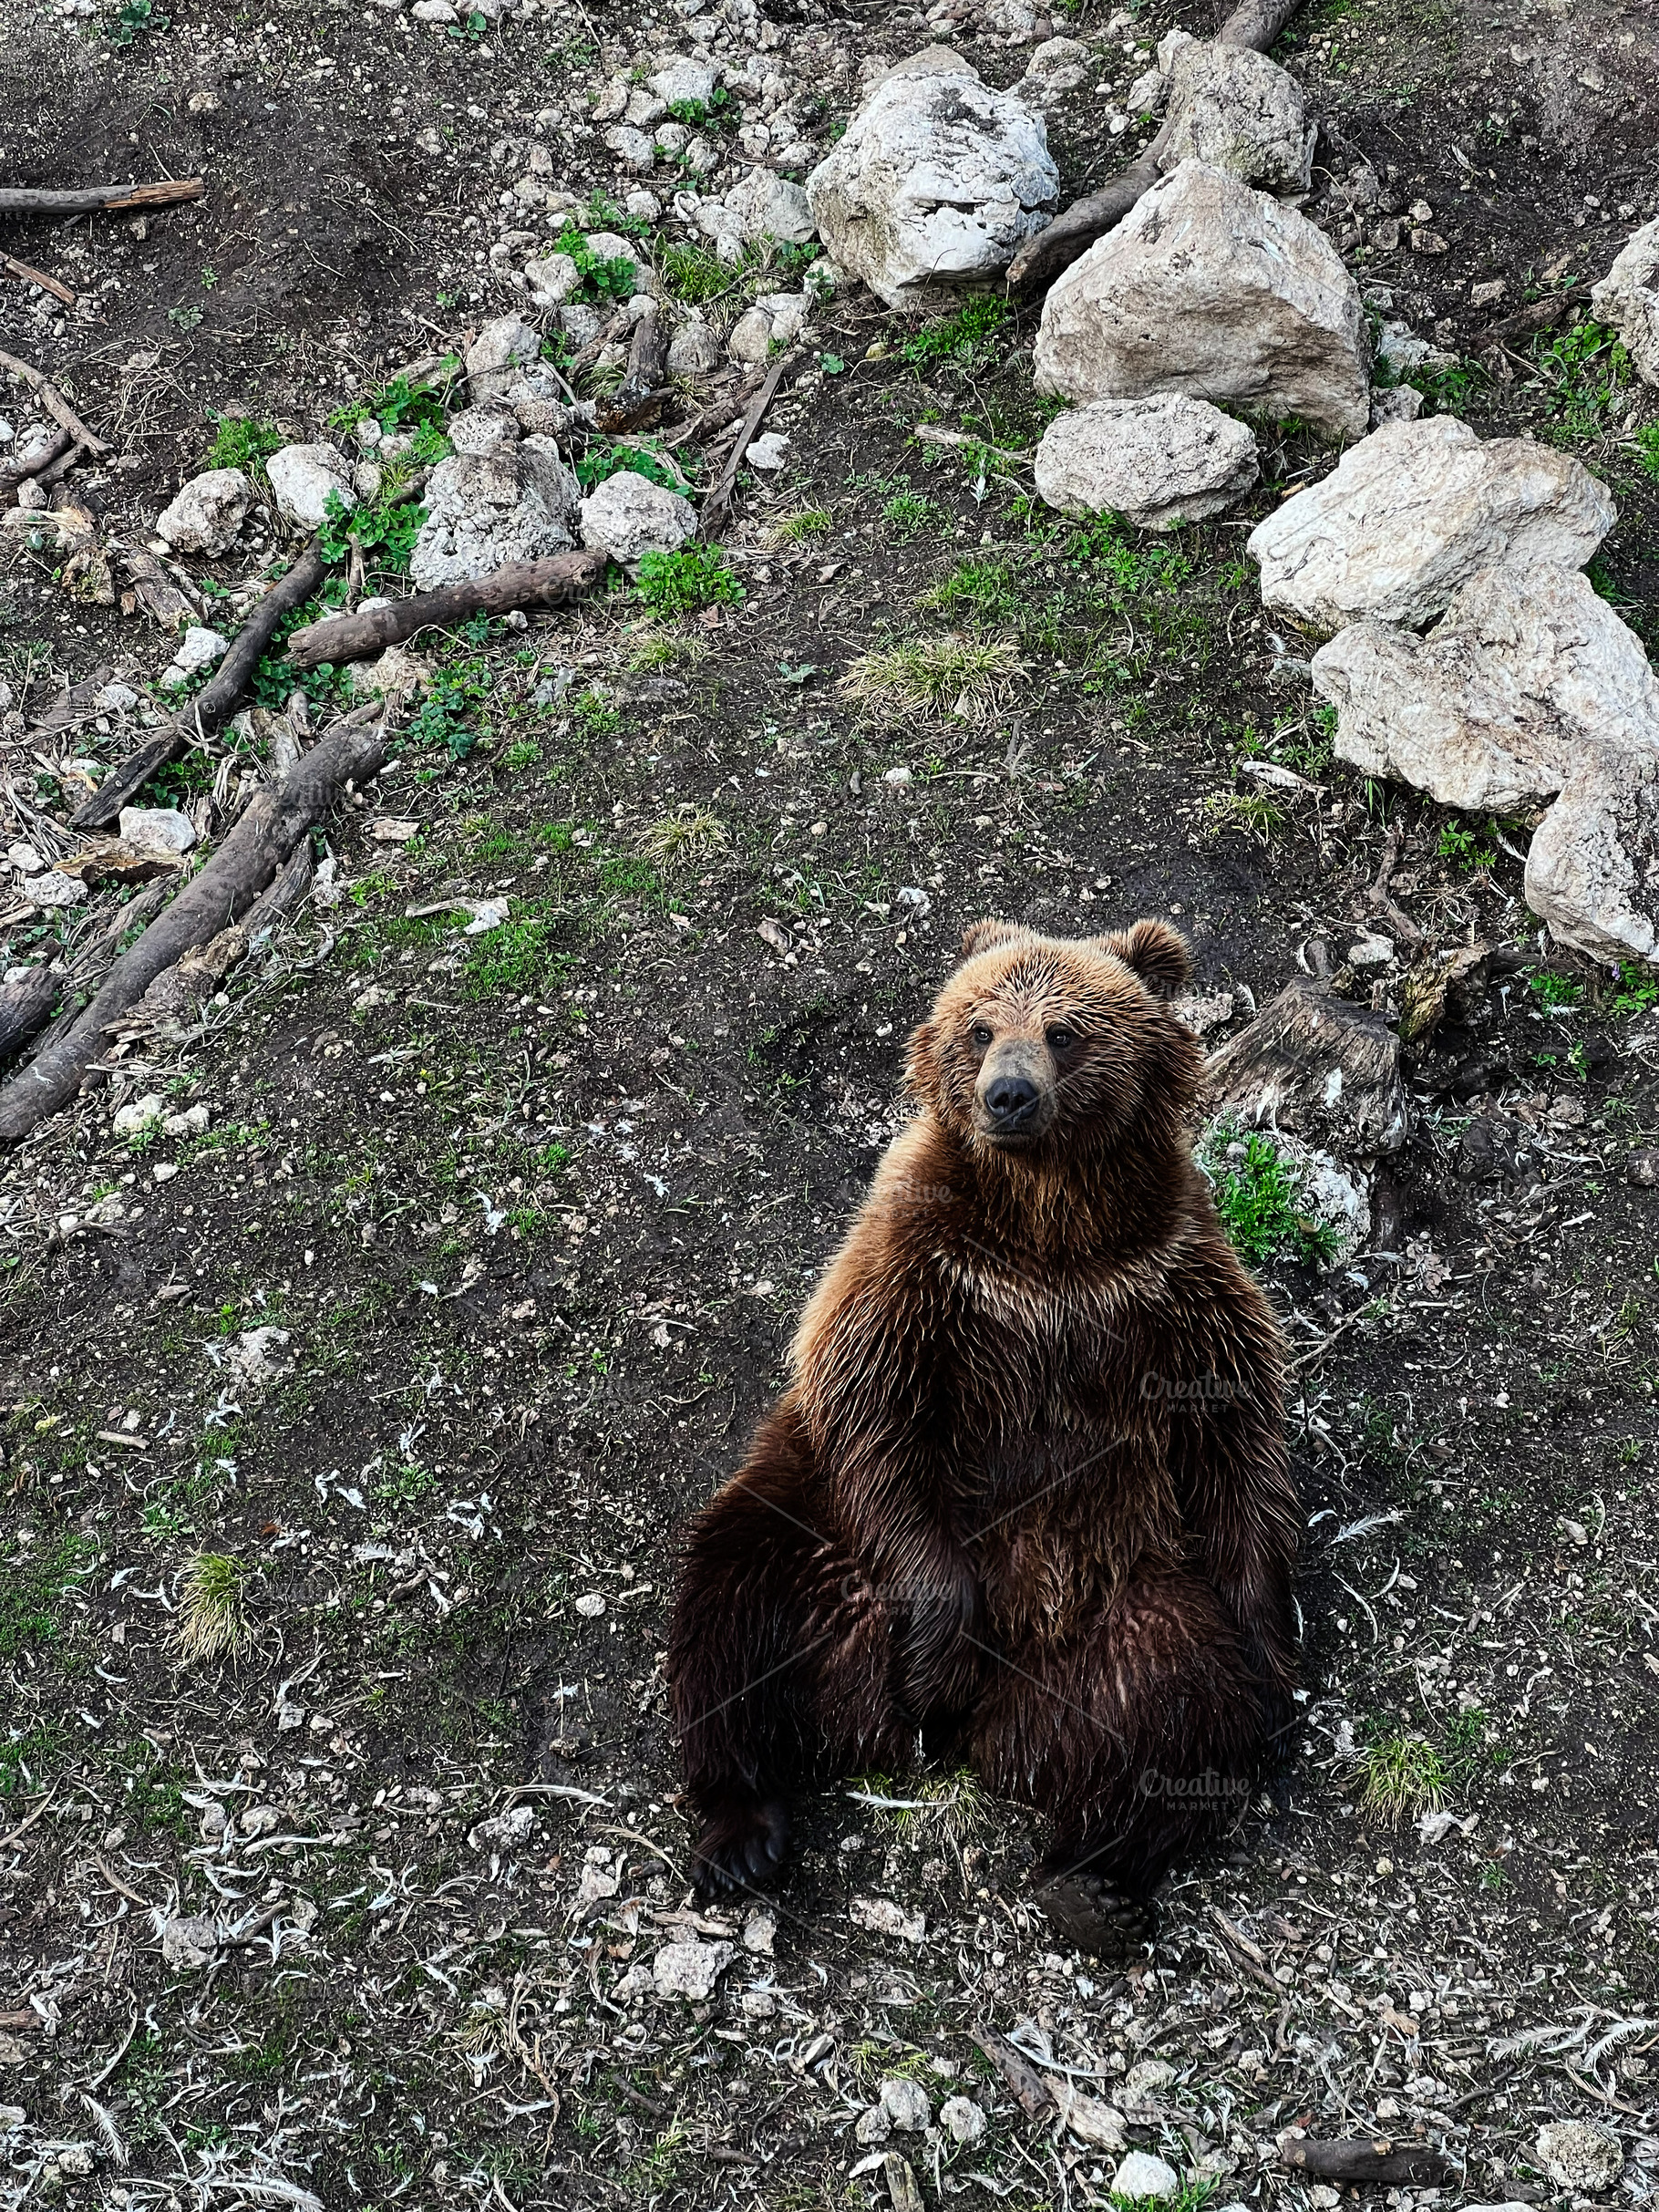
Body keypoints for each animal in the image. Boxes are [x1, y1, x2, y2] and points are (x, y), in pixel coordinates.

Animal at [666, 916, 1297, 1953]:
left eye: (1065, 1031)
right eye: (979, 1025)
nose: (1007, 1094)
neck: (1049, 1234)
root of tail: (988, 1733)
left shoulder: (1165, 1278)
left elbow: (1232, 1429)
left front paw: (1274, 1631)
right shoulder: (928, 1273)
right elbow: (873, 1407)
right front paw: (935, 1648)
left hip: (1127, 1593)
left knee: (1181, 1701)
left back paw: (1091, 1876)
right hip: (819, 1531)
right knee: (734, 1600)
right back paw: (743, 1829)